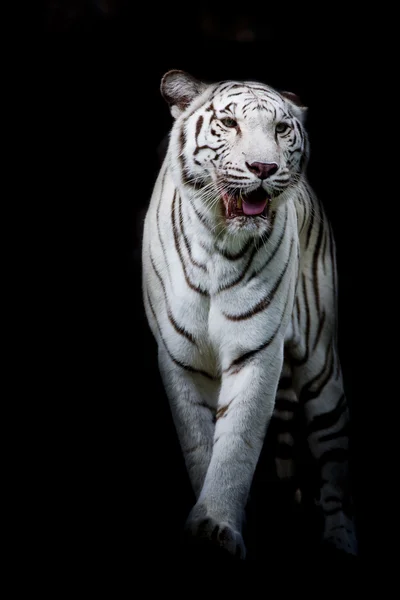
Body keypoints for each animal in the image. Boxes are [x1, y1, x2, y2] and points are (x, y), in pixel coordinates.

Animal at [142, 69, 358, 556]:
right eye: (228, 123)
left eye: (280, 129)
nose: (264, 168)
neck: (217, 243)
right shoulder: (180, 357)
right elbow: (201, 445)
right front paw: (210, 526)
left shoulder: (257, 351)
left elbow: (237, 443)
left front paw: (217, 526)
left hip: (321, 368)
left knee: (334, 460)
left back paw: (340, 538)